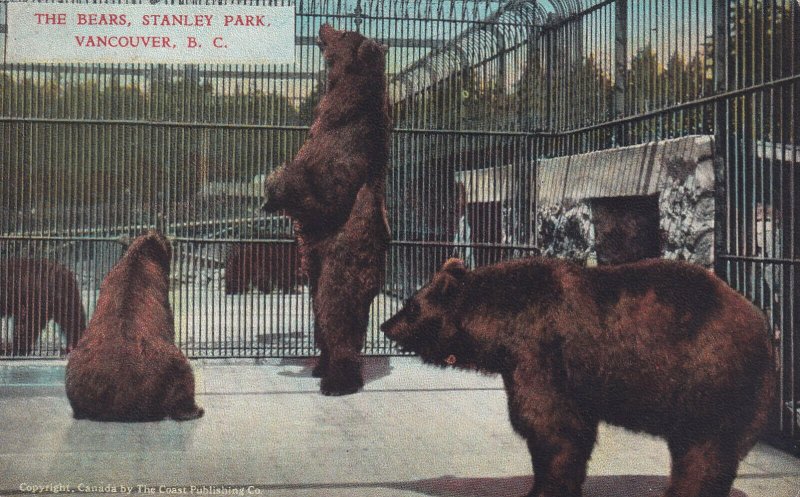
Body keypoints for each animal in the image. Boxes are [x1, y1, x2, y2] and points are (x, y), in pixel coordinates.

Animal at [65, 231, 203, 420]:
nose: (172, 239)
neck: (139, 256)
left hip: (78, 372)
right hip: (168, 368)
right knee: (183, 377)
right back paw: (193, 409)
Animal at [264, 23, 392, 396]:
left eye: (346, 32)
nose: (323, 25)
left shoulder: (345, 150)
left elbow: (325, 193)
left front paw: (275, 183)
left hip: (341, 263)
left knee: (336, 313)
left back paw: (337, 380)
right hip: (317, 270)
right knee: (321, 317)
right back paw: (320, 366)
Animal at [382, 256, 776, 496]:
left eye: (410, 305)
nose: (386, 325)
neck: (501, 324)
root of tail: (761, 323)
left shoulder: (542, 354)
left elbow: (553, 427)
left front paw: (544, 488)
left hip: (708, 376)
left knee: (703, 449)